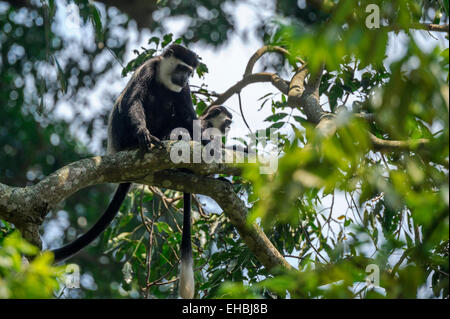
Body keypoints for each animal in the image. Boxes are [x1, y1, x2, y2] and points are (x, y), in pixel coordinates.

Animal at [50, 43, 201, 298]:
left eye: (190, 73)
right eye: (182, 68)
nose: (183, 78)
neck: (164, 77)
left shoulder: (184, 90)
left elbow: (189, 116)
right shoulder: (147, 69)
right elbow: (135, 100)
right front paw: (143, 133)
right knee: (135, 102)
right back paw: (144, 141)